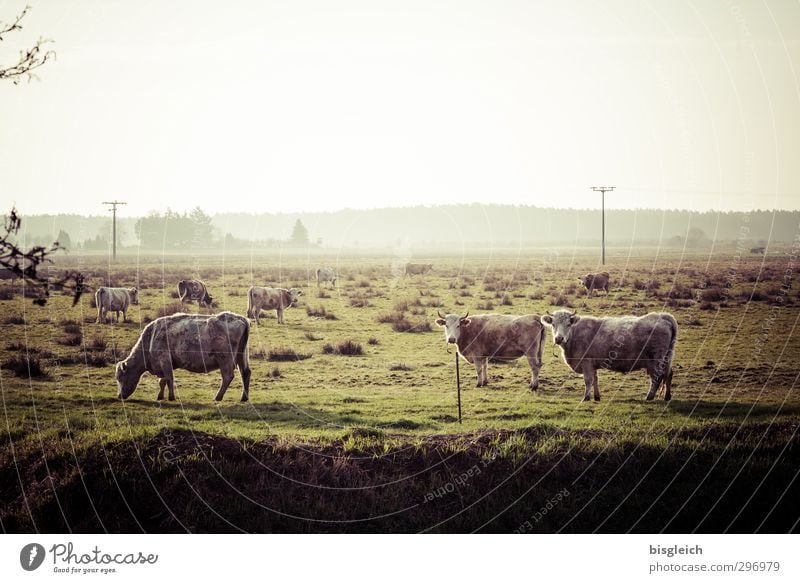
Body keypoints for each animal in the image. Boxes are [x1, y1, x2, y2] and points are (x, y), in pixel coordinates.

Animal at [114, 312, 252, 404]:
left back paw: (218, 397)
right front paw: (160, 396)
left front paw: (171, 397)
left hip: (225, 360)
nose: (119, 396)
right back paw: (244, 398)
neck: (151, 337)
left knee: (228, 376)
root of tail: (241, 319)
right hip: (241, 357)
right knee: (245, 373)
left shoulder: (165, 361)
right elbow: (162, 381)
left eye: (121, 377)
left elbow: (169, 379)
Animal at [540, 310, 680, 402]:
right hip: (667, 358)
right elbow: (595, 380)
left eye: (568, 324)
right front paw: (596, 397)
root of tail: (662, 316)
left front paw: (586, 398)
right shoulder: (592, 364)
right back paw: (667, 397)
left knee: (657, 378)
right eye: (553, 324)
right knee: (668, 375)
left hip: (656, 360)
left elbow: (588, 380)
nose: (559, 338)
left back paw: (649, 397)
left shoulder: (586, 362)